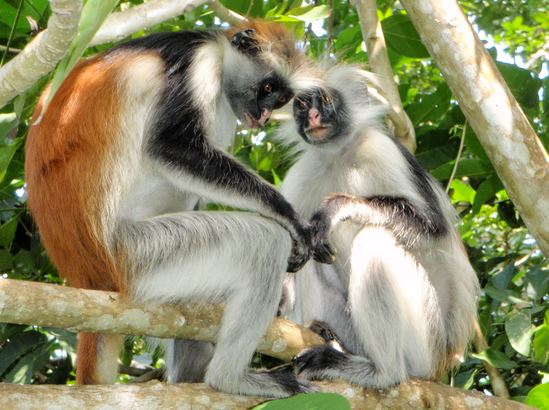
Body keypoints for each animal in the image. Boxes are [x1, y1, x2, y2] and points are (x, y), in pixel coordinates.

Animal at [24, 21, 330, 398]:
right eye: (267, 88)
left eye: (281, 99)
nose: (263, 115)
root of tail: (89, 275)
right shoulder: (198, 61)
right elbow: (171, 144)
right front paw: (289, 217)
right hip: (139, 253)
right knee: (263, 242)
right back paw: (228, 379)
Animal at [276, 65, 478, 390]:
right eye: (303, 105)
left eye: (326, 101)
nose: (313, 117)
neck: (340, 154)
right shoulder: (302, 173)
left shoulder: (382, 149)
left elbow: (433, 228)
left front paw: (337, 208)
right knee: (310, 254)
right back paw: (322, 331)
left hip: (425, 340)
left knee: (374, 239)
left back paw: (382, 371)